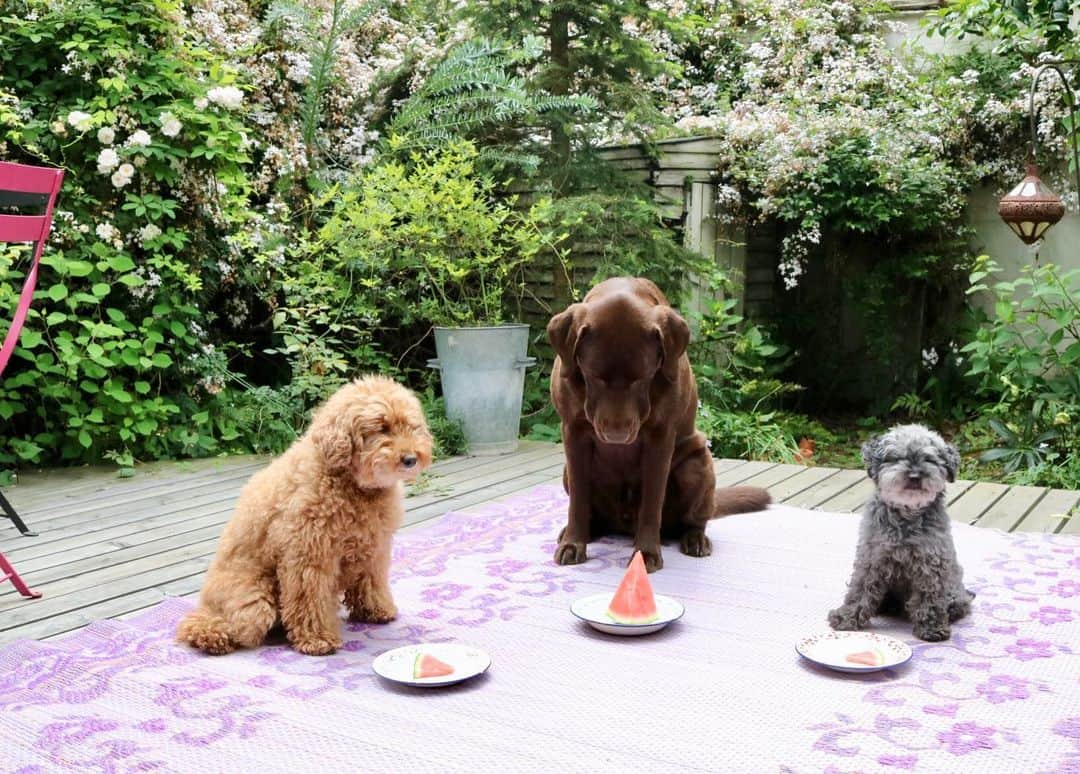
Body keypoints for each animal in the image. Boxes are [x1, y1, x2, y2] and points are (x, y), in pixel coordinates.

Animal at [176, 377, 429, 656]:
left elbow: (371, 582)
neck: (351, 485)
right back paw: (213, 637)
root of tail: (205, 603)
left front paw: (377, 611)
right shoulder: (308, 554)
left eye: (411, 426)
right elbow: (309, 599)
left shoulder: (374, 549)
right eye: (382, 428)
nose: (410, 458)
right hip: (254, 601)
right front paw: (317, 640)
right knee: (217, 625)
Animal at [552, 276, 773, 565]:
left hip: (697, 466)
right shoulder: (573, 432)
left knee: (694, 519)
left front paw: (645, 552)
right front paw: (573, 543)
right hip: (567, 472)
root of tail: (623, 524)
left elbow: (652, 501)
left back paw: (695, 539)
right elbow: (578, 501)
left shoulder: (660, 437)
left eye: (643, 377)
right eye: (594, 376)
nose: (616, 436)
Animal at [829, 423, 976, 639]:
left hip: (954, 592)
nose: (915, 476)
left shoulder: (930, 562)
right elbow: (859, 589)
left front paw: (931, 627)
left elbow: (929, 596)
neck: (906, 516)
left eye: (929, 459)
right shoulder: (872, 558)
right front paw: (847, 617)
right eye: (896, 457)